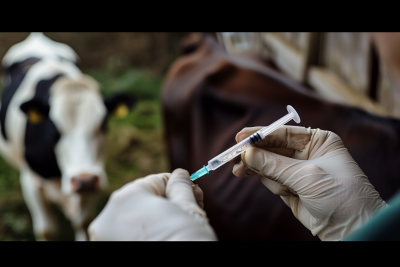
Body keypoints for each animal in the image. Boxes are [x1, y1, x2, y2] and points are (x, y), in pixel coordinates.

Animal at [0, 32, 135, 242]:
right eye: (53, 129)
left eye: (103, 124)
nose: (84, 180)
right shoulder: (31, 182)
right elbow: (47, 230)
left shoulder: (94, 176)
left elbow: (83, 222)